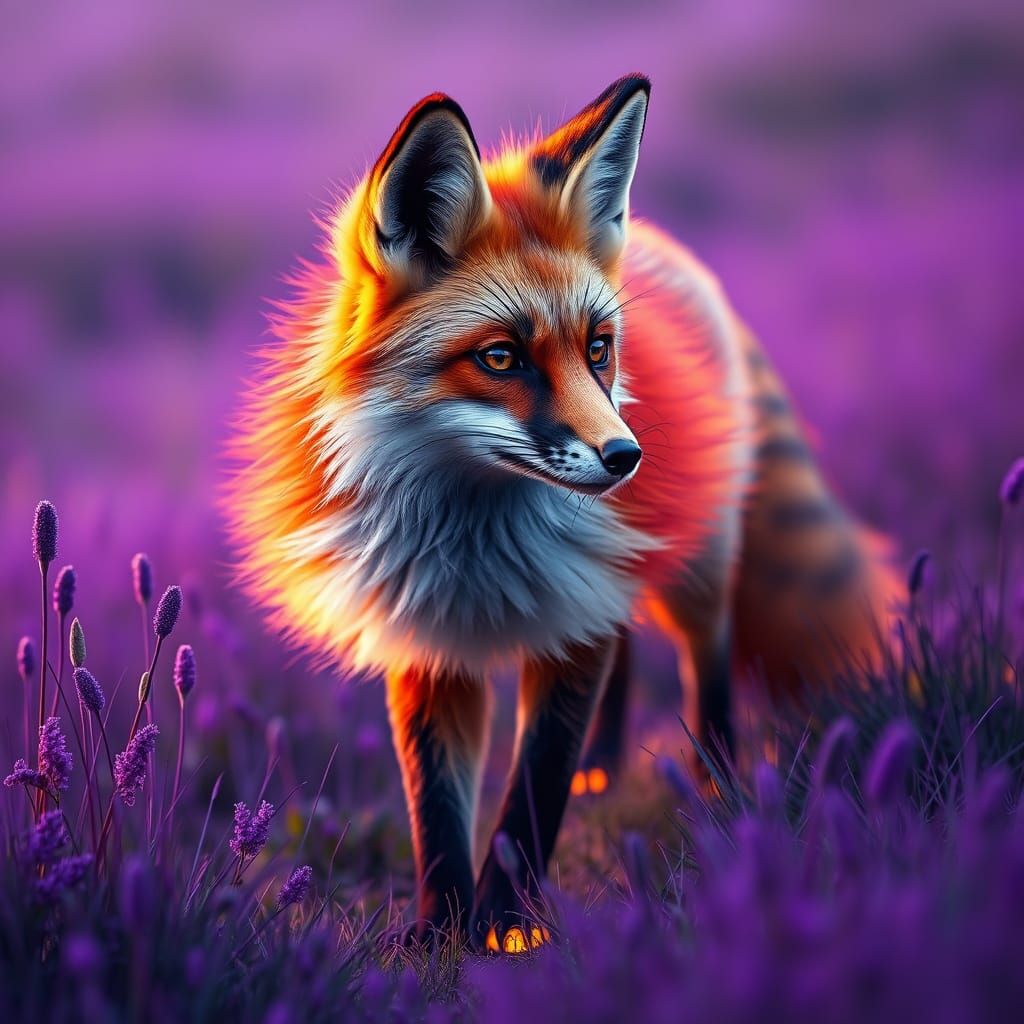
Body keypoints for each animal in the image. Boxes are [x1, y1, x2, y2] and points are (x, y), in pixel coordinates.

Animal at [226, 75, 900, 951]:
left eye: (598, 349)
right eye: (501, 358)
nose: (626, 457)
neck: (474, 543)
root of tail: (663, 245)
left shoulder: (571, 623)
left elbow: (530, 796)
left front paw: (506, 928)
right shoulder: (429, 641)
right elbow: (436, 809)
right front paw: (440, 934)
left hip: (694, 567)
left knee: (706, 653)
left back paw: (716, 785)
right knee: (624, 645)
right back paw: (605, 768)